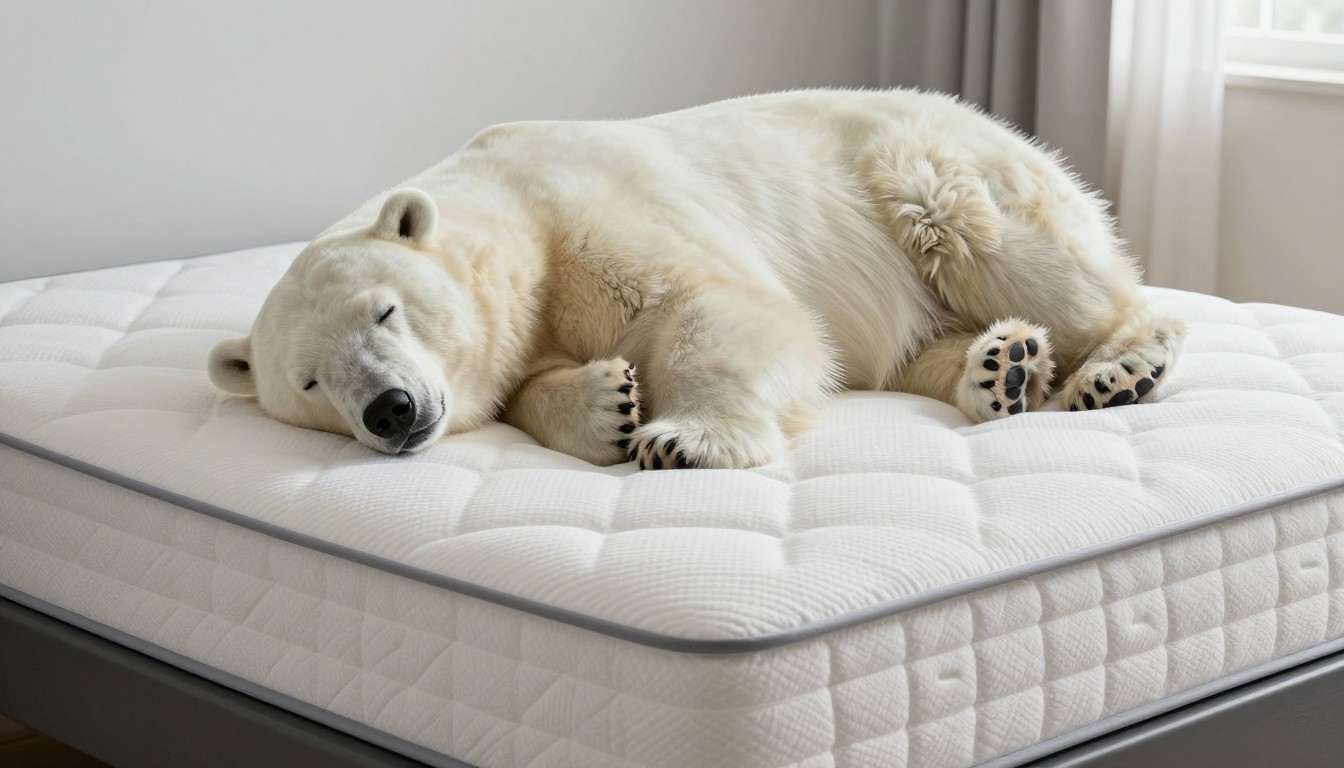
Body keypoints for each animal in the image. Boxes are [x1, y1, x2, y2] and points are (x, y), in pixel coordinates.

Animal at [208, 88, 1184, 469]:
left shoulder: (592, 211)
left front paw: (684, 438)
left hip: (925, 175)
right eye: (309, 381)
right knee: (920, 350)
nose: (390, 409)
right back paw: (1002, 369)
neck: (515, 209)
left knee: (1012, 251)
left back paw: (1117, 367)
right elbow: (534, 387)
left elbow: (717, 309)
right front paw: (606, 402)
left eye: (386, 311)